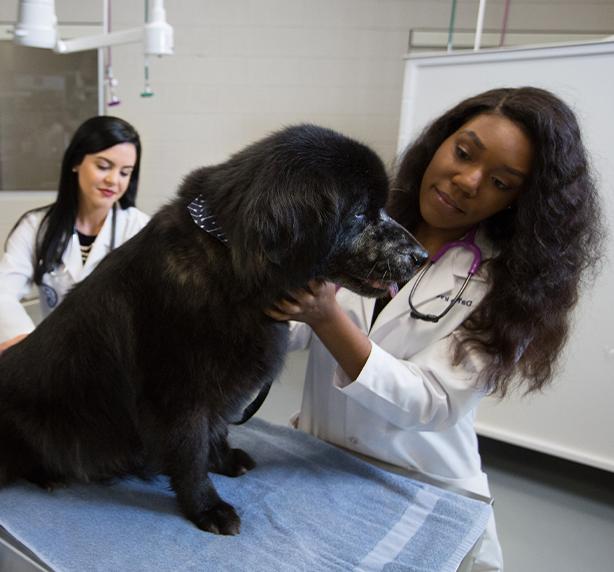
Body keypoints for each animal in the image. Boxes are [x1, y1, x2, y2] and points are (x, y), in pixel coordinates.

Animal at [0, 124, 428, 536]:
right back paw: (47, 475)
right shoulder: (179, 394)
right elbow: (190, 454)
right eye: (359, 214)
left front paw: (223, 460)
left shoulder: (220, 389)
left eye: (381, 208)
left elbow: (216, 430)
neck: (233, 264)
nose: (421, 256)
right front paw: (206, 507)